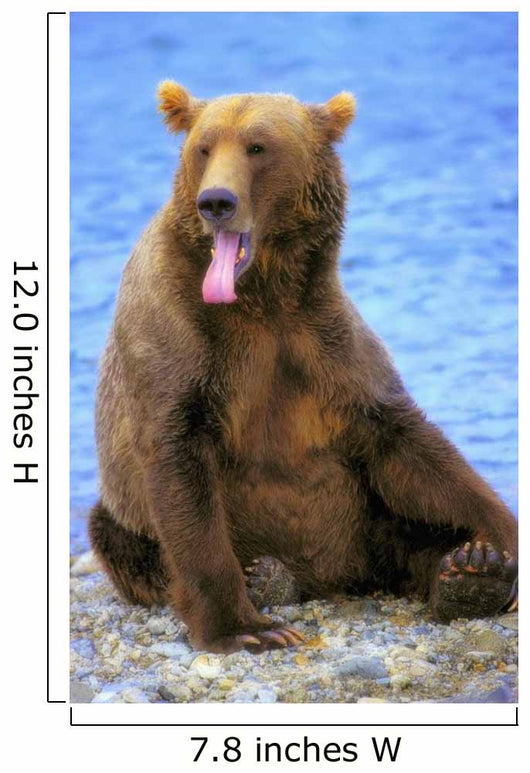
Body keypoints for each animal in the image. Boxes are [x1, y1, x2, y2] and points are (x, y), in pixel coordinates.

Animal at [89, 81, 518, 653]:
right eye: (204, 147)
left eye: (257, 146)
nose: (216, 202)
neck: (259, 297)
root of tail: (330, 576)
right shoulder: (177, 338)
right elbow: (179, 465)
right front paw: (247, 628)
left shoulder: (322, 343)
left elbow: (408, 442)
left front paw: (500, 540)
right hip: (127, 515)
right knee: (121, 538)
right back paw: (265, 575)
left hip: (366, 520)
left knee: (410, 532)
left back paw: (472, 570)